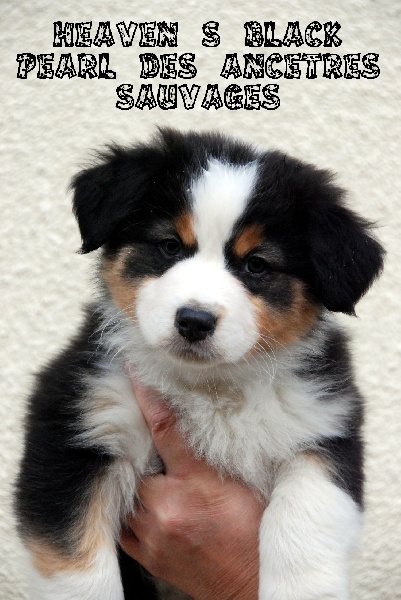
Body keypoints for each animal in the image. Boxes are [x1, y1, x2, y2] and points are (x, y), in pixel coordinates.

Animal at [15, 128, 384, 599]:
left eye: (257, 265)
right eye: (170, 245)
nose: (194, 321)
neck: (209, 386)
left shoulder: (322, 427)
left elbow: (305, 513)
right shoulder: (78, 426)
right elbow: (79, 568)